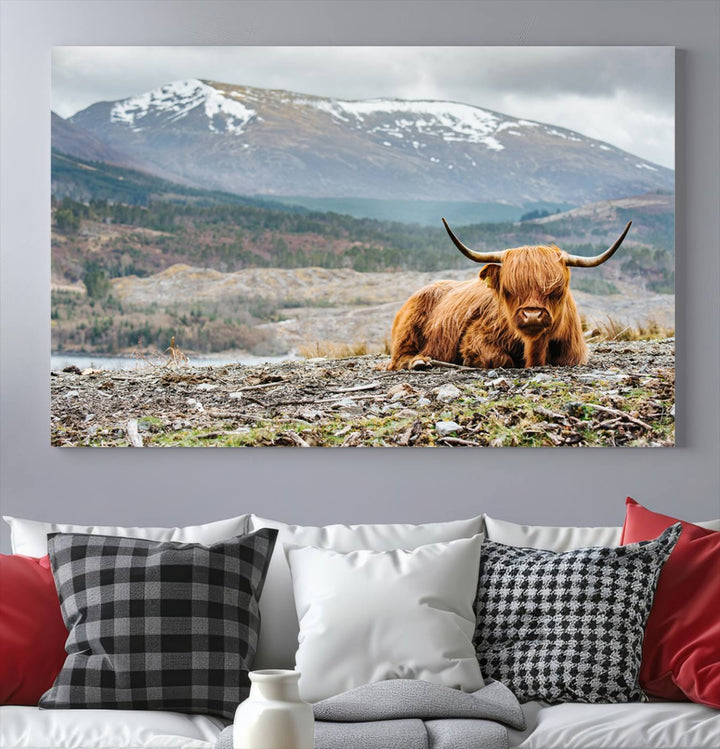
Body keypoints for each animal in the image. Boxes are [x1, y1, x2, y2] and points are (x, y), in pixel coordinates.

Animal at [388, 218, 632, 370]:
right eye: (508, 290)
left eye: (557, 290)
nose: (532, 315)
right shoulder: (475, 338)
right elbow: (499, 358)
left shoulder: (574, 354)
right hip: (408, 330)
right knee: (398, 358)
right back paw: (419, 362)